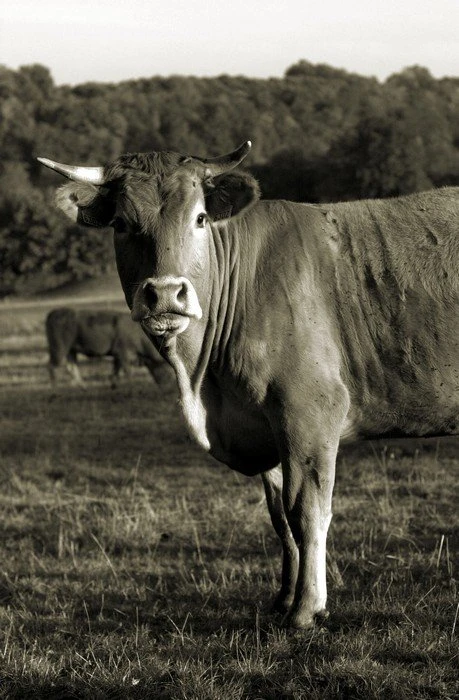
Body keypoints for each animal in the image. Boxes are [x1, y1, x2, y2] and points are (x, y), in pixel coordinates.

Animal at [38, 142, 459, 629]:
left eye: (200, 217)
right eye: (121, 223)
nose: (165, 294)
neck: (205, 385)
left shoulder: (308, 414)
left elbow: (307, 511)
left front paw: (307, 608)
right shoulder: (267, 427)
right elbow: (280, 518)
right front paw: (283, 597)